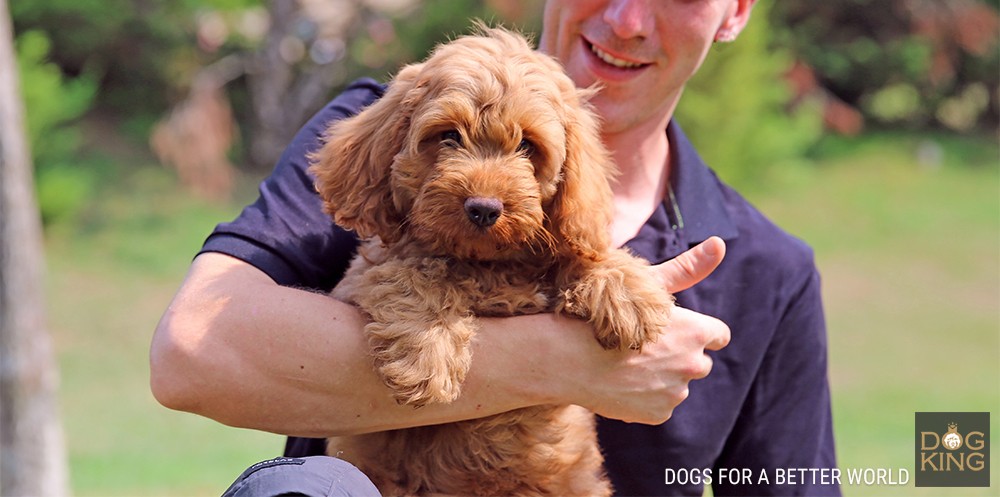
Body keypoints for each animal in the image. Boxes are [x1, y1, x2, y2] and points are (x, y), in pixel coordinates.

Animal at [310, 26, 672, 496]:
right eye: (448, 136)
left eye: (527, 146)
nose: (483, 208)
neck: (484, 265)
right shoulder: (364, 275)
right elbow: (410, 273)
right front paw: (427, 353)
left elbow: (580, 250)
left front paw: (625, 289)